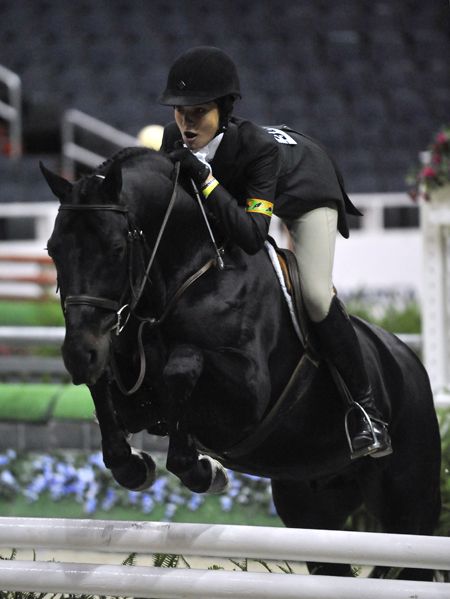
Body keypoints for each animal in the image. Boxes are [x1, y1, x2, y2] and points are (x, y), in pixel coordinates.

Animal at [40, 148, 442, 580]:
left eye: (116, 248)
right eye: (53, 249)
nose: (78, 354)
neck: (186, 277)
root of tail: (408, 360)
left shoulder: (247, 398)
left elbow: (184, 364)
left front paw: (205, 471)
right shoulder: (131, 391)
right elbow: (107, 391)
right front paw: (136, 466)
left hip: (410, 507)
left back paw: (369, 427)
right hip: (312, 508)